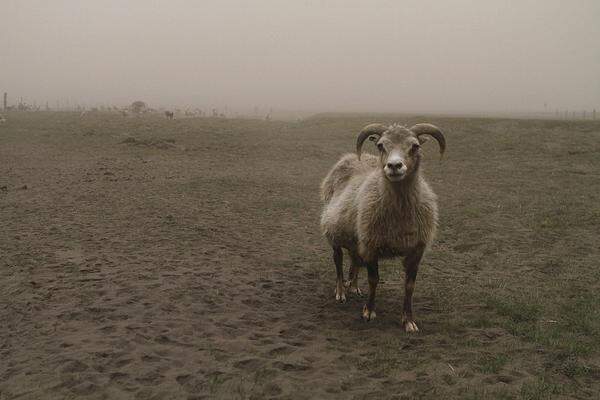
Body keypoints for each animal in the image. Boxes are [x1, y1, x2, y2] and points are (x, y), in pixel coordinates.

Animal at [322, 121, 442, 332]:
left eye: (415, 146)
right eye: (380, 145)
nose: (394, 166)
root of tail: (351, 157)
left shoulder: (416, 250)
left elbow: (410, 286)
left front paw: (408, 320)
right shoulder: (371, 246)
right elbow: (373, 280)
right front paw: (369, 312)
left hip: (356, 238)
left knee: (355, 260)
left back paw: (354, 286)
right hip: (334, 233)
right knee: (338, 261)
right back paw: (341, 291)